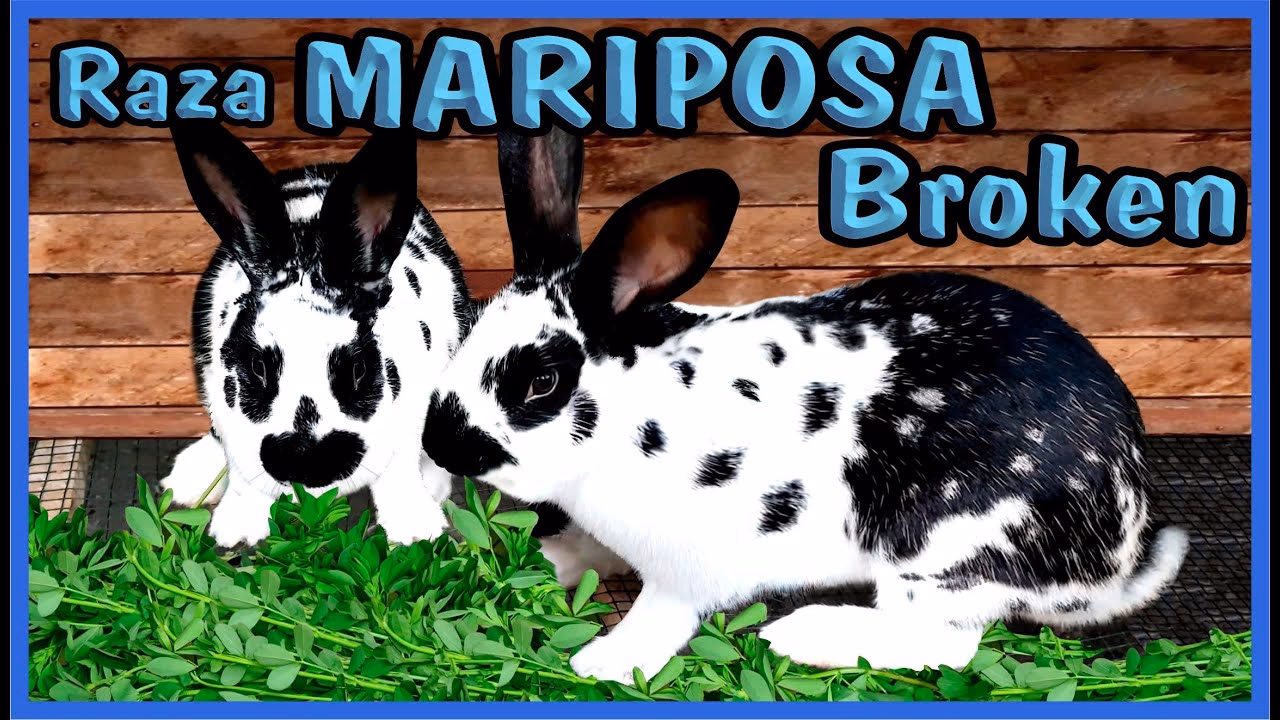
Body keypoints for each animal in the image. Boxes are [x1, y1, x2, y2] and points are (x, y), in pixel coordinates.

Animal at [159, 120, 469, 548]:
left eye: (358, 369)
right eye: (257, 367)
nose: (309, 460)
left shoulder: (412, 407)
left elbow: (398, 469)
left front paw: (415, 530)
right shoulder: (226, 408)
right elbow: (243, 473)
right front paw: (238, 530)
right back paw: (187, 480)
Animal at [420, 126, 1189, 683]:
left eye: (541, 383)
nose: (437, 442)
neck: (641, 413)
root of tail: (1117, 553)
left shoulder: (689, 569)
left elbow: (660, 617)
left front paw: (601, 663)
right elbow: (584, 549)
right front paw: (531, 556)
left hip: (942, 554)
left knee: (943, 645)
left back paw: (802, 635)